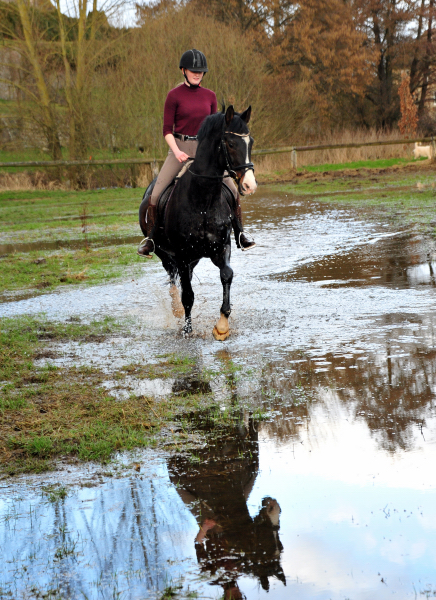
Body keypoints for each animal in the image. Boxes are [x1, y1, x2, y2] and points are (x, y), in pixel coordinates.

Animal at [139, 106, 255, 340]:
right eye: (230, 143)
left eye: (251, 142)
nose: (250, 185)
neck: (203, 199)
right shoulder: (182, 255)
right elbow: (188, 295)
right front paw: (187, 330)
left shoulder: (221, 247)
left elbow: (226, 275)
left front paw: (222, 326)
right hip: (166, 253)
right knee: (173, 280)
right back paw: (175, 309)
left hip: (194, 258)